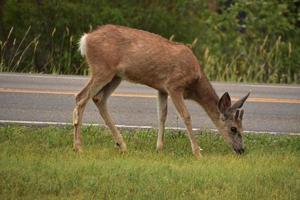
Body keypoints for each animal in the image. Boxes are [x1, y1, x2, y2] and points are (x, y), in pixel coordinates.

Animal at [74, 24, 250, 159]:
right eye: (233, 128)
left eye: (242, 128)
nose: (241, 150)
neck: (194, 84)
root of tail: (85, 39)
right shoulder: (174, 85)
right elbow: (186, 116)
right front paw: (197, 152)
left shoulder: (162, 89)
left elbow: (162, 116)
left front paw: (159, 148)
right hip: (102, 69)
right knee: (81, 97)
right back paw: (78, 147)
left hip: (115, 76)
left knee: (98, 99)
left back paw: (122, 145)